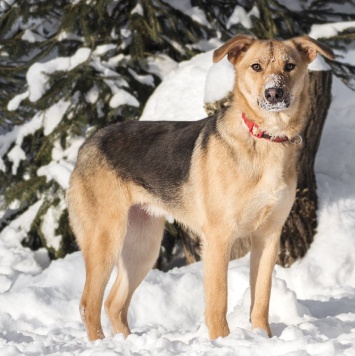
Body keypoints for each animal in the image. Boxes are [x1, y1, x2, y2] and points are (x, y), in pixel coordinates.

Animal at [65, 34, 336, 340]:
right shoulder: (219, 237)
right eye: (256, 66)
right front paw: (222, 341)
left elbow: (261, 298)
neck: (265, 139)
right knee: (89, 304)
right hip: (106, 239)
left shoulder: (268, 236)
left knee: (113, 303)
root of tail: (87, 144)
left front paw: (262, 338)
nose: (274, 94)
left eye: (290, 66)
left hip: (143, 245)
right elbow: (218, 300)